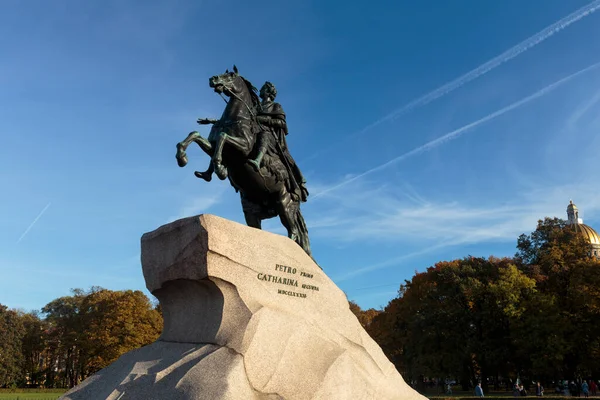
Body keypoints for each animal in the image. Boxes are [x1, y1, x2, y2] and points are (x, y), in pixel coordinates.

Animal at [176, 66, 312, 256]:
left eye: (231, 75)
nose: (213, 79)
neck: (235, 117)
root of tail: (297, 195)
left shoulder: (243, 149)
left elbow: (223, 137)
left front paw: (220, 168)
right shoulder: (212, 145)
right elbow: (195, 135)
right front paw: (183, 157)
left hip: (283, 203)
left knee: (293, 232)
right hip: (252, 210)